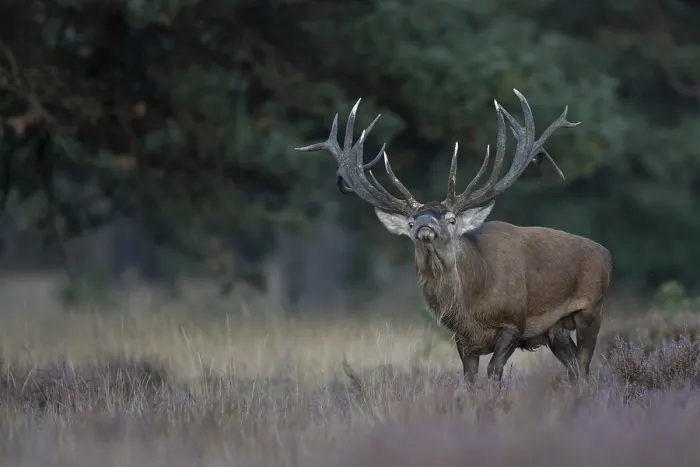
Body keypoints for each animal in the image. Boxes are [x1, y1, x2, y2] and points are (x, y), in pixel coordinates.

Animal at [295, 90, 612, 383]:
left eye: (450, 219)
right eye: (410, 221)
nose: (425, 224)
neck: (472, 303)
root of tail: (606, 253)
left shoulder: (514, 322)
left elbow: (495, 371)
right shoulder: (462, 340)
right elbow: (469, 378)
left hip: (592, 309)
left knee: (585, 367)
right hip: (556, 331)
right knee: (575, 369)